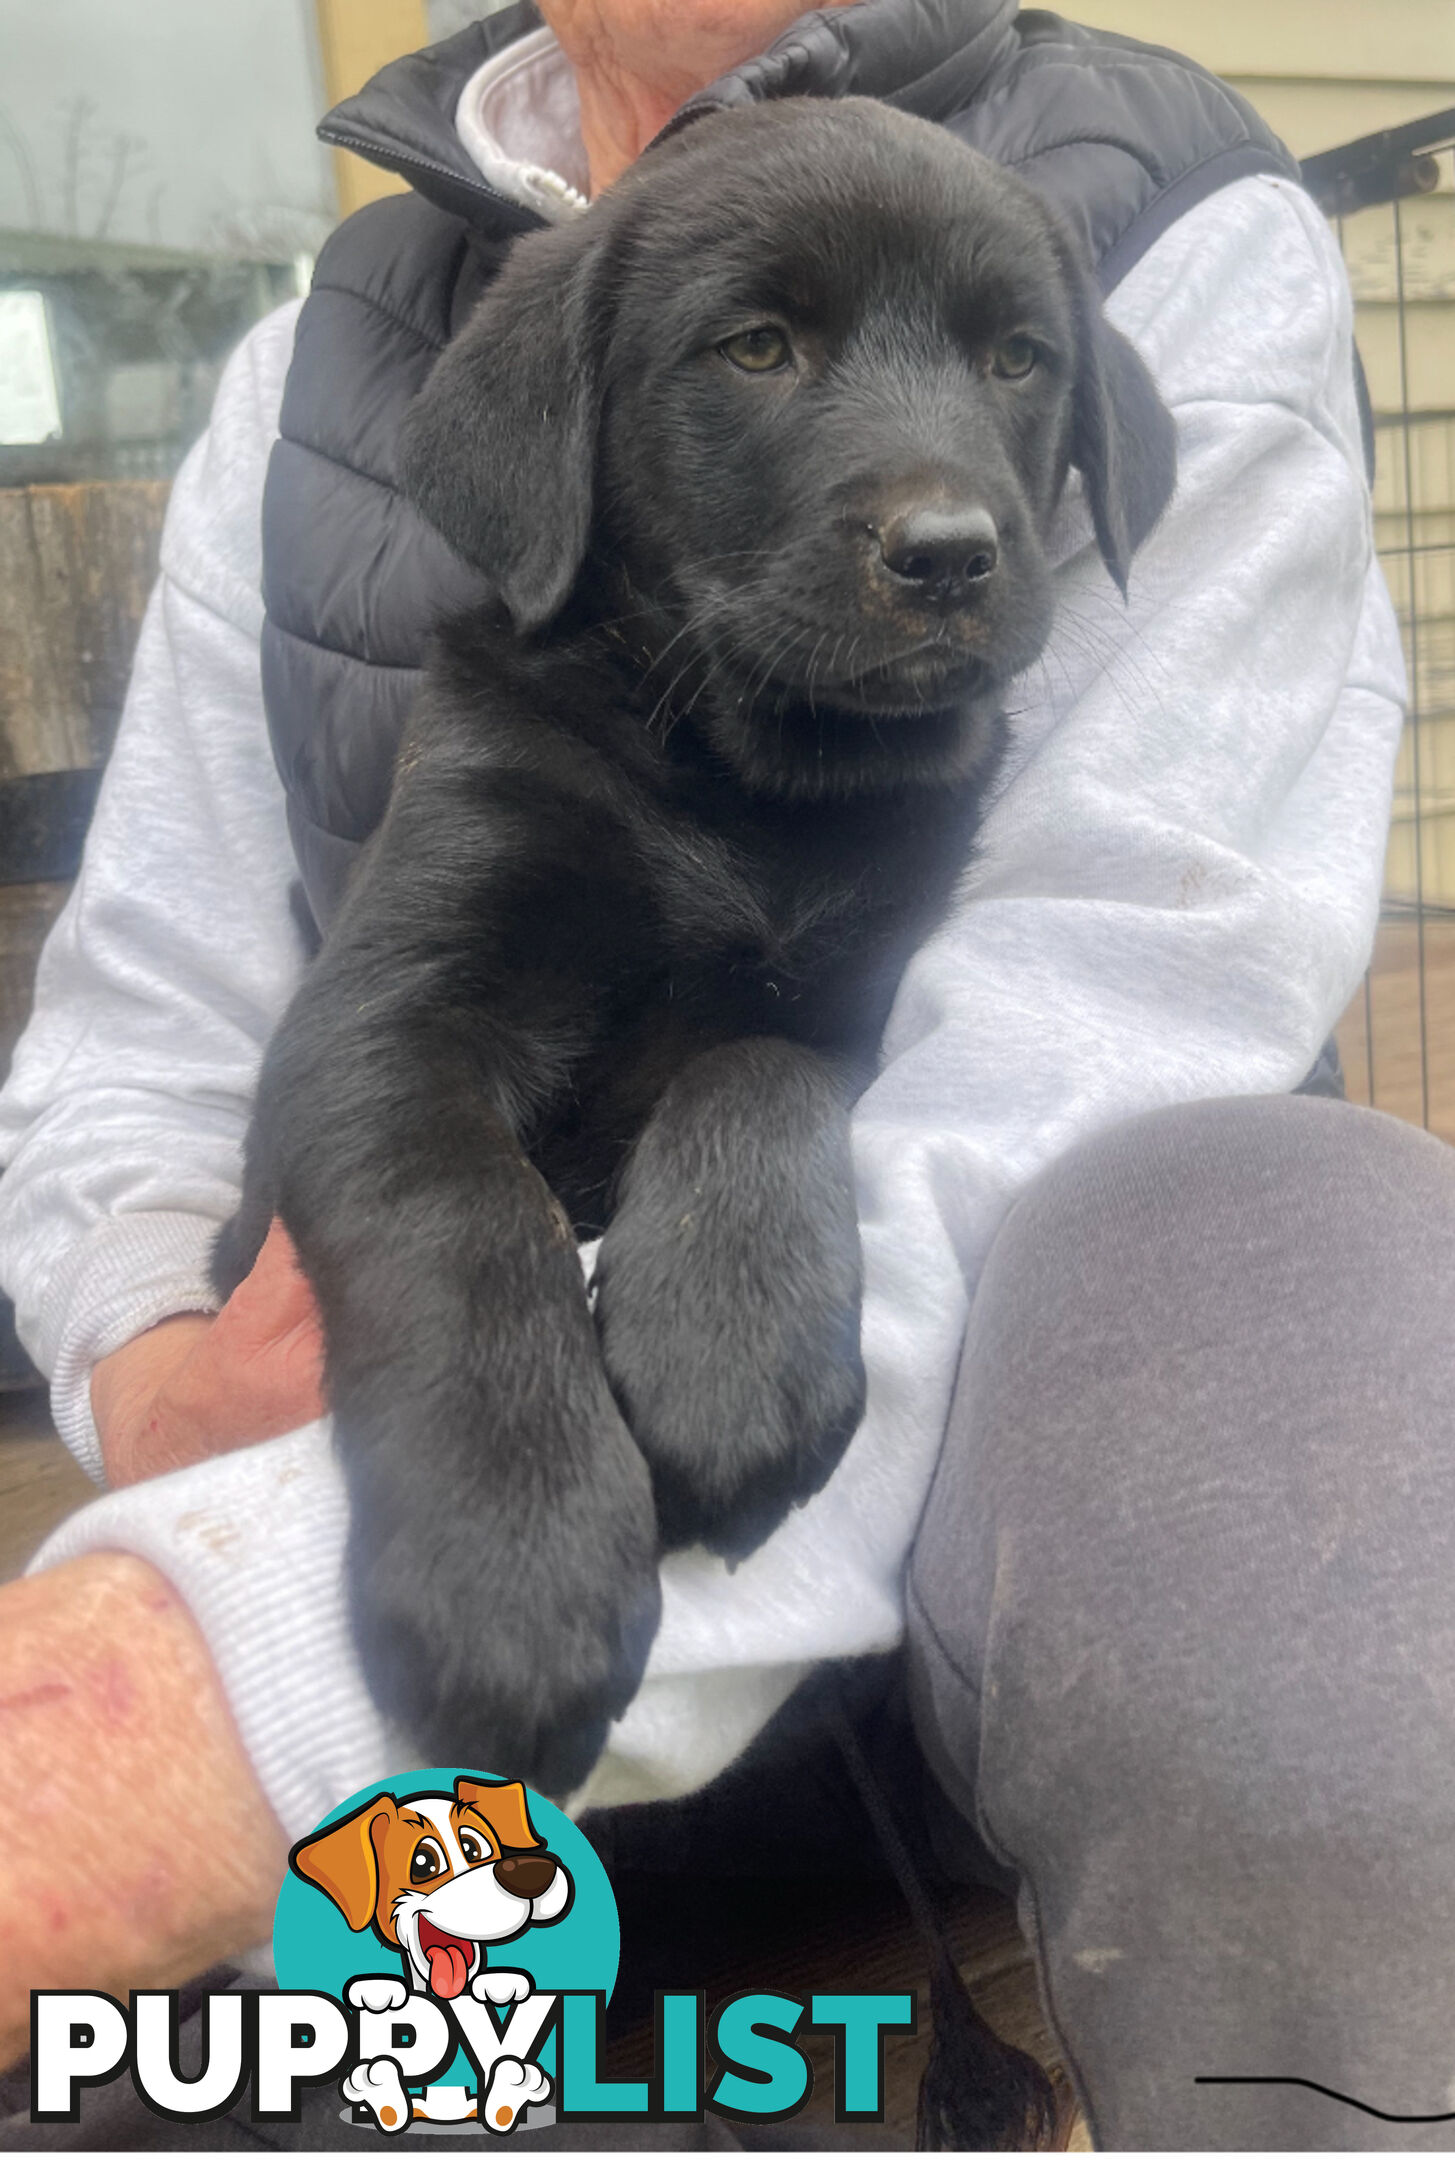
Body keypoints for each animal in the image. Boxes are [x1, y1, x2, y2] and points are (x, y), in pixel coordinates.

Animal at [215, 97, 1174, 1788]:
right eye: (754, 349)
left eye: (1015, 358)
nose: (946, 554)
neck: (732, 781)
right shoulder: (383, 1017)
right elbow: (459, 1209)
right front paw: (512, 1557)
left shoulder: (864, 988)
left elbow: (755, 1070)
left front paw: (726, 1352)